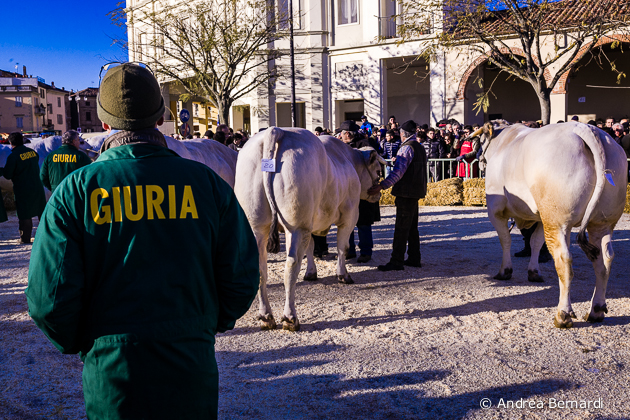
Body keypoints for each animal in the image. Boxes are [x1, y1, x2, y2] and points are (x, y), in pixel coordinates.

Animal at [235, 128, 386, 332]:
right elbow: (342, 247)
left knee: (260, 268)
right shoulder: (349, 215)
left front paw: (311, 273)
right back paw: (290, 318)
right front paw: (343, 275)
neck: (347, 160)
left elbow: (311, 248)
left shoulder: (311, 222)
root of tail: (276, 131)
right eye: (378, 171)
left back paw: (266, 316)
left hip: (258, 225)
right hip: (296, 227)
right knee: (291, 268)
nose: (378, 193)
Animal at [478, 120, 628, 328]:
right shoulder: (541, 218)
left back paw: (563, 315)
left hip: (558, 221)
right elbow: (535, 243)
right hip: (602, 223)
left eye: (480, 141)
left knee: (564, 260)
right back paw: (596, 310)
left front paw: (505, 271)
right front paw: (534, 272)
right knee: (604, 261)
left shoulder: (495, 210)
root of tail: (585, 128)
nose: (477, 159)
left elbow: (505, 240)